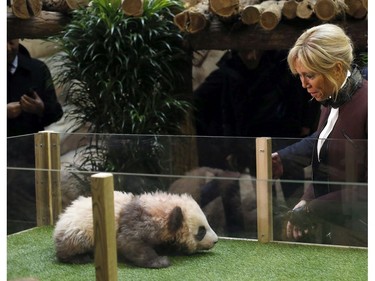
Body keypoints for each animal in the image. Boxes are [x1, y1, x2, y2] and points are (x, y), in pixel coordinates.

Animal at [52, 190, 217, 266]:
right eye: (201, 231)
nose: (215, 241)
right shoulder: (136, 220)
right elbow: (129, 243)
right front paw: (160, 261)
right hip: (79, 230)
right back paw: (79, 257)